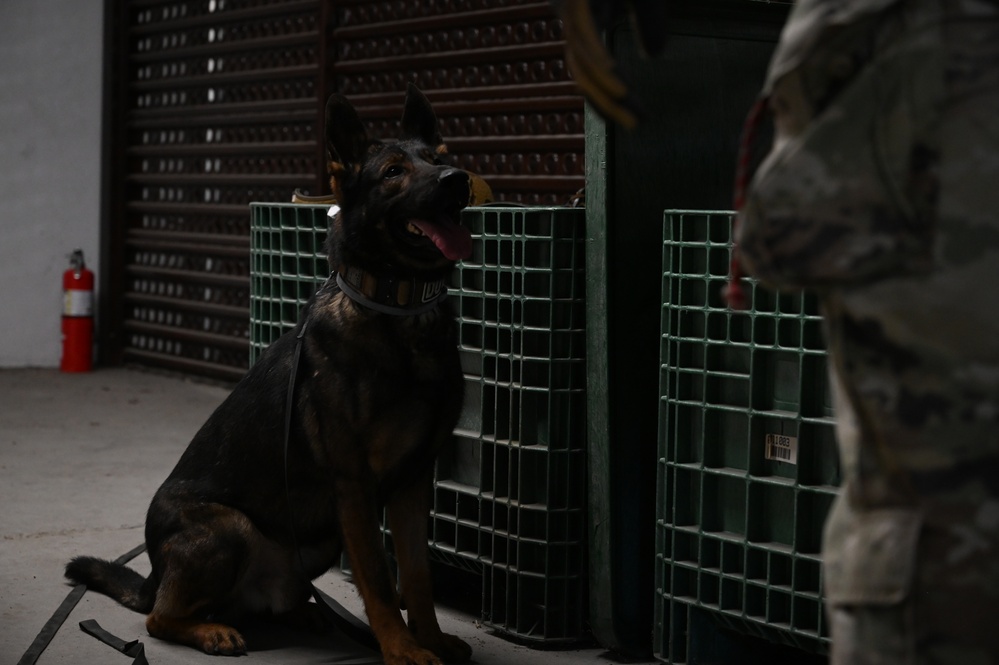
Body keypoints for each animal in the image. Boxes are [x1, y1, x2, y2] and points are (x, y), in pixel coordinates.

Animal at [66, 84, 476, 664]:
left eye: (439, 157)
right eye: (394, 171)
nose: (456, 179)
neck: (396, 309)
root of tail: (153, 575)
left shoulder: (412, 483)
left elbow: (417, 576)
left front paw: (431, 639)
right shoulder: (354, 485)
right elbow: (378, 581)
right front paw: (401, 649)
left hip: (319, 538)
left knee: (264, 604)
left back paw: (300, 613)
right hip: (231, 528)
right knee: (158, 618)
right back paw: (210, 631)